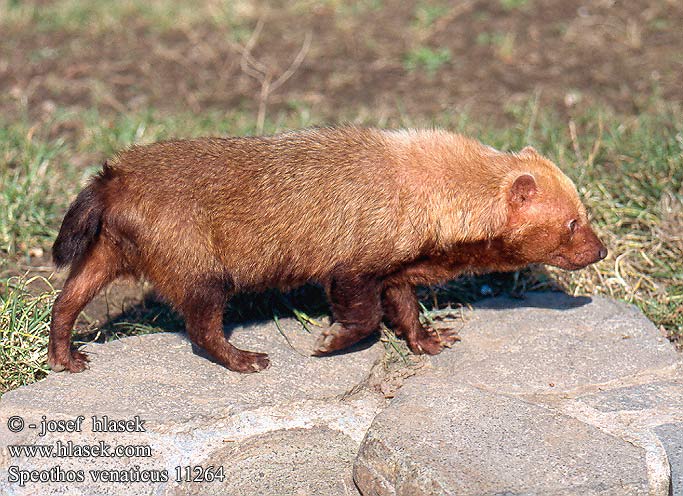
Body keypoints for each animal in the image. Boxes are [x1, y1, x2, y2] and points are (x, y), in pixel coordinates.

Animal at [48, 127, 608, 372]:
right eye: (572, 222)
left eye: (581, 211)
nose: (600, 251)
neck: (425, 185)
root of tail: (115, 177)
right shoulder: (356, 259)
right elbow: (363, 312)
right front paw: (330, 341)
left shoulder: (398, 261)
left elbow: (403, 306)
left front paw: (430, 340)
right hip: (194, 258)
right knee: (201, 323)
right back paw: (244, 358)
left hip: (108, 248)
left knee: (67, 299)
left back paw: (66, 357)